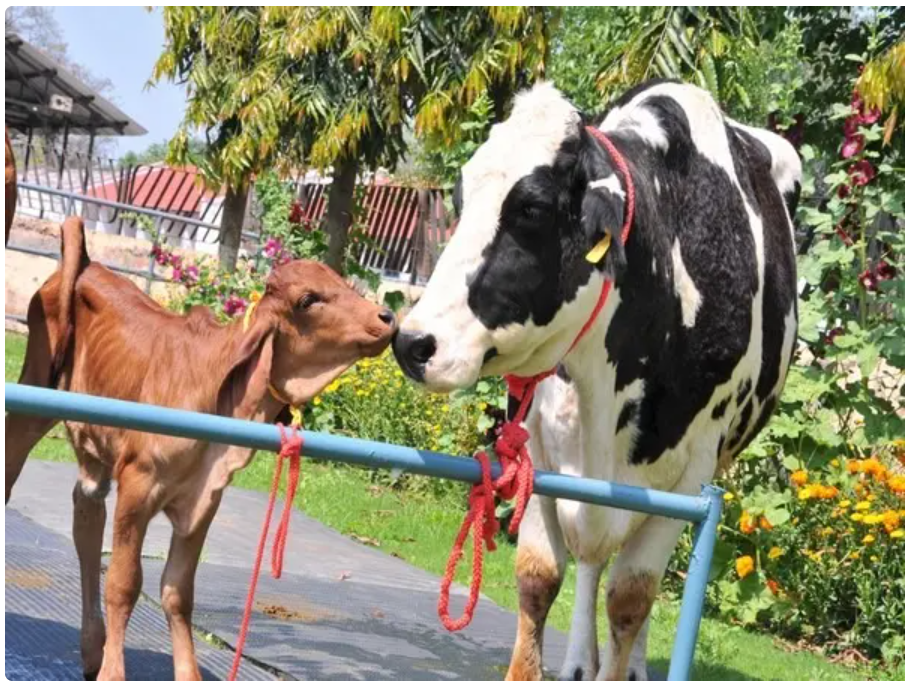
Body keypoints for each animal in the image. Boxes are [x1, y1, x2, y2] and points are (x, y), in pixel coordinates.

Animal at [4, 219, 394, 680]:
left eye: (345, 283)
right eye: (308, 299)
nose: (387, 317)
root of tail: (86, 264)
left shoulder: (204, 499)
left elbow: (177, 591)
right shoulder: (137, 484)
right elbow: (123, 583)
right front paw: (114, 672)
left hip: (94, 454)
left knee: (86, 519)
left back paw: (91, 648)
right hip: (31, 402)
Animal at [394, 81, 800, 680]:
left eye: (531, 208)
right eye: (462, 200)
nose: (412, 343)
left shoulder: (694, 474)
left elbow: (632, 597)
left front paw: (622, 659)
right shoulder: (538, 445)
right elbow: (541, 574)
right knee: (589, 557)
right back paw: (580, 660)